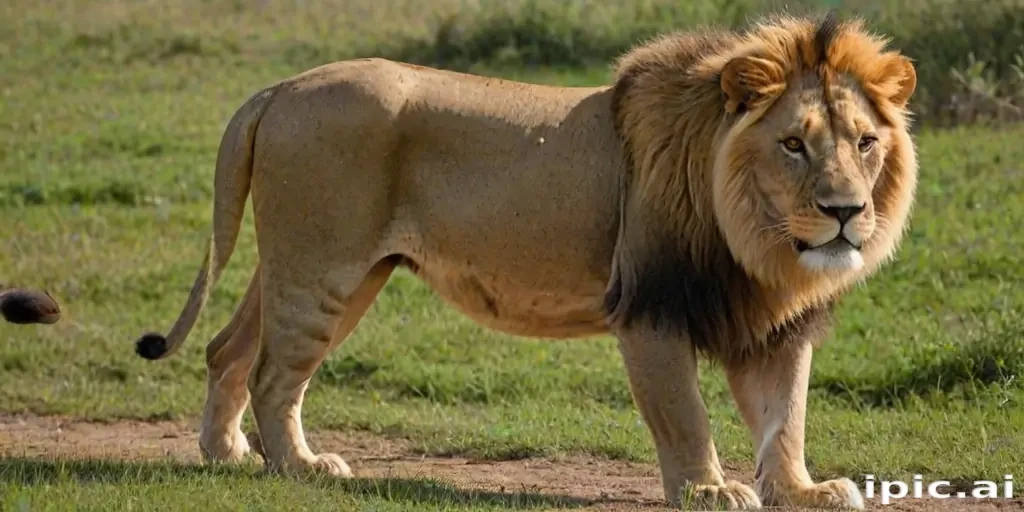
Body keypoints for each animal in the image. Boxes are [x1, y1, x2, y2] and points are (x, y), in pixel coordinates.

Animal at [132, 12, 918, 510]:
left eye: (865, 142)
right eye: (793, 144)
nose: (846, 211)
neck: (763, 242)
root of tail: (281, 88)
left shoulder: (775, 323)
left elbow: (786, 416)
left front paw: (803, 491)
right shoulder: (650, 307)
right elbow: (684, 414)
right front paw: (709, 489)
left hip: (317, 268)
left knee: (226, 348)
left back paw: (228, 454)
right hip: (324, 267)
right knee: (273, 373)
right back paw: (299, 466)